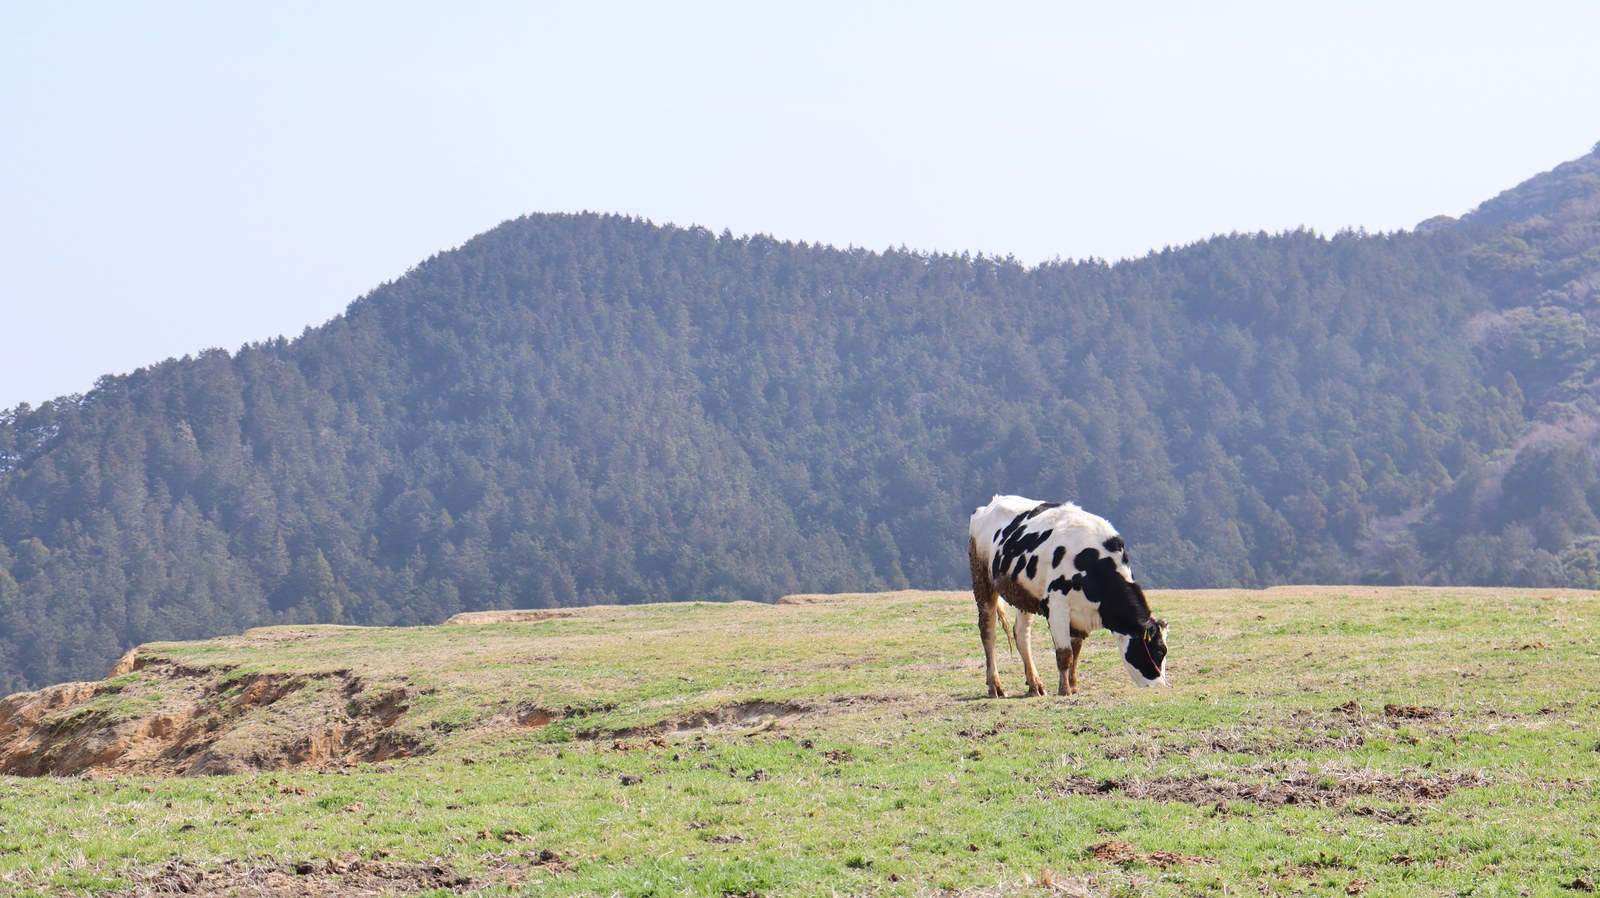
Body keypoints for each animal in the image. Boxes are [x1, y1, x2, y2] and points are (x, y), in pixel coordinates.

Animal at [967, 495, 1168, 697]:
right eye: (1160, 651)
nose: (1162, 686)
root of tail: (991, 502)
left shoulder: (1079, 616)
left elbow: (1076, 651)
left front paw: (1073, 685)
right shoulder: (1056, 606)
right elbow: (1065, 654)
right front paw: (1064, 690)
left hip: (1022, 593)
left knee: (1022, 635)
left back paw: (1035, 685)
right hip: (981, 578)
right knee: (988, 633)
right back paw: (996, 686)